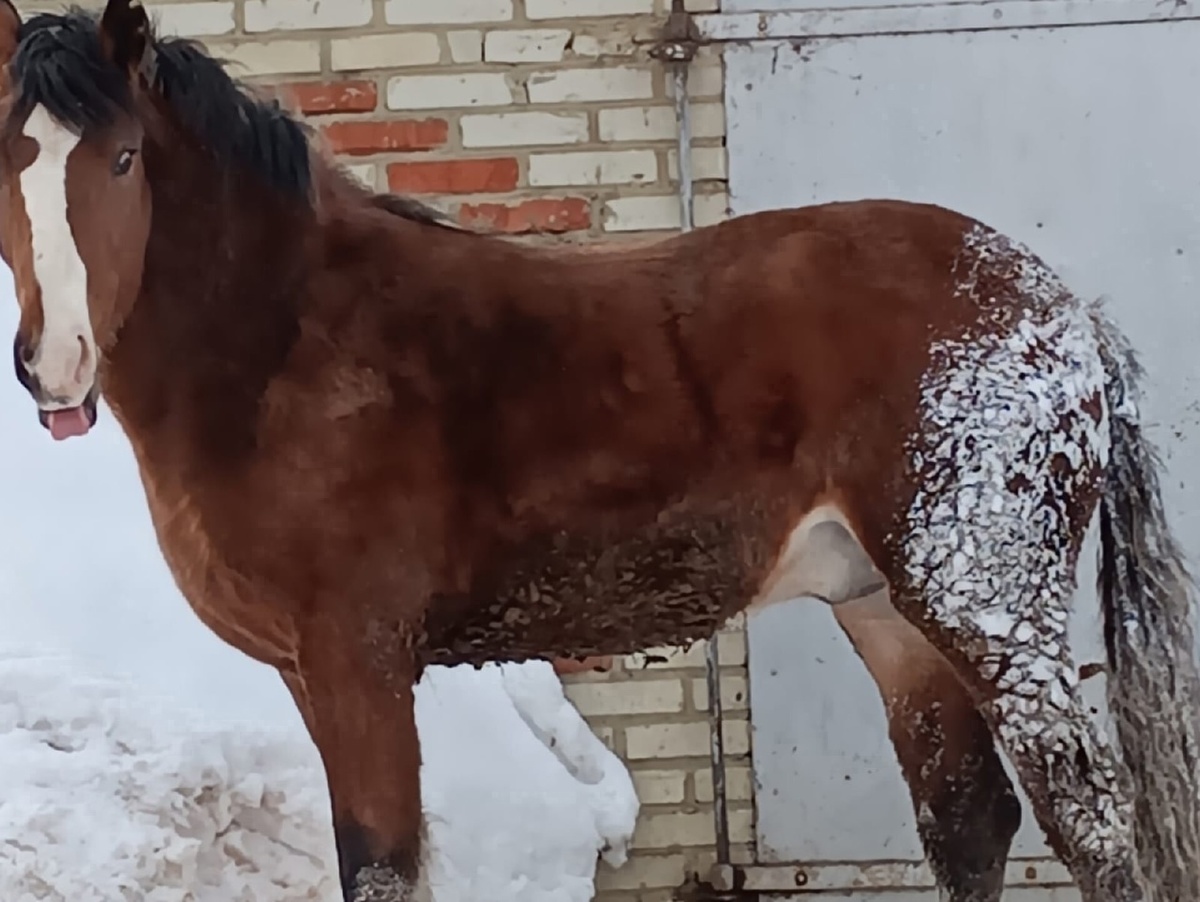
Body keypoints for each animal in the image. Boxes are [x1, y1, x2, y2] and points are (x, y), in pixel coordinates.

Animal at [0, 2, 1196, 901]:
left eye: (123, 158)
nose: (51, 365)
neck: (288, 340)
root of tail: (1066, 313)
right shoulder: (311, 671)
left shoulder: (360, 660)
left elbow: (383, 865)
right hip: (885, 609)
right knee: (968, 815)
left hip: (986, 605)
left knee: (1088, 820)